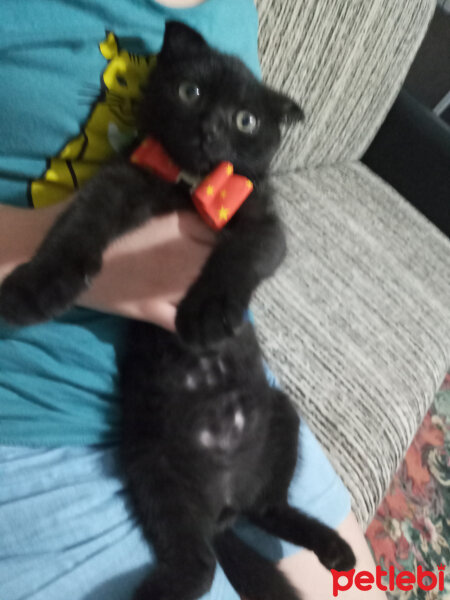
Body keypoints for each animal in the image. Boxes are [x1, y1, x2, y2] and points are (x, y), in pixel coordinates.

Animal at [0, 22, 304, 346]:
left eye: (246, 121)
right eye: (189, 91)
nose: (209, 129)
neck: (189, 182)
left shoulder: (263, 218)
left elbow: (244, 254)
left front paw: (208, 313)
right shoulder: (118, 180)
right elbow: (80, 220)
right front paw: (35, 286)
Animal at [122, 324, 356, 600]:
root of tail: (226, 503)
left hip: (279, 416)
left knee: (265, 510)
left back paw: (334, 550)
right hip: (155, 468)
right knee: (201, 562)